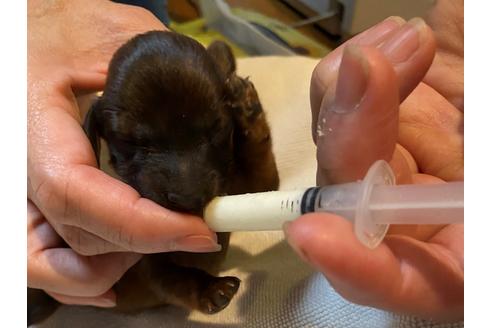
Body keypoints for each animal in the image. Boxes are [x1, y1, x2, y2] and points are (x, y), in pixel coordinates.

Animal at [28, 31, 278, 326]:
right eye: (131, 142)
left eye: (216, 129)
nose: (189, 199)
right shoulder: (149, 262)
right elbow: (176, 278)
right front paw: (210, 288)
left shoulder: (248, 184)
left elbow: (262, 172)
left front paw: (247, 106)